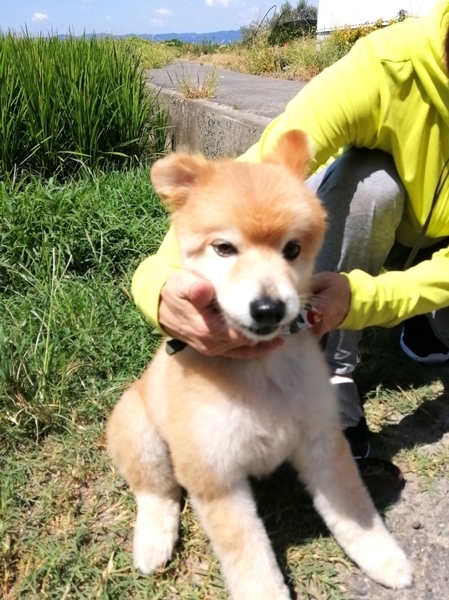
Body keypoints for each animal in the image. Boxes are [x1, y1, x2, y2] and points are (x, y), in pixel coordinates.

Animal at [107, 130, 412, 599]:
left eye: (293, 249)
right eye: (223, 248)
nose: (268, 308)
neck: (262, 372)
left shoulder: (322, 440)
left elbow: (355, 511)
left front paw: (384, 559)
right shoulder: (214, 475)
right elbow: (248, 555)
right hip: (141, 432)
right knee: (156, 491)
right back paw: (153, 542)